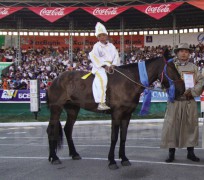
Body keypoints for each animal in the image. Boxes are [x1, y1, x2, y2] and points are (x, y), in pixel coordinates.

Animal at [45, 57, 185, 169]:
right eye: (171, 69)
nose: (182, 89)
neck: (129, 81)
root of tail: (56, 79)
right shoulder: (116, 114)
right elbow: (114, 137)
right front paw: (112, 161)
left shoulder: (127, 115)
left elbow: (123, 137)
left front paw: (124, 159)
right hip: (56, 109)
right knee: (51, 130)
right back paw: (54, 157)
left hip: (73, 109)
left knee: (68, 129)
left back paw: (74, 154)